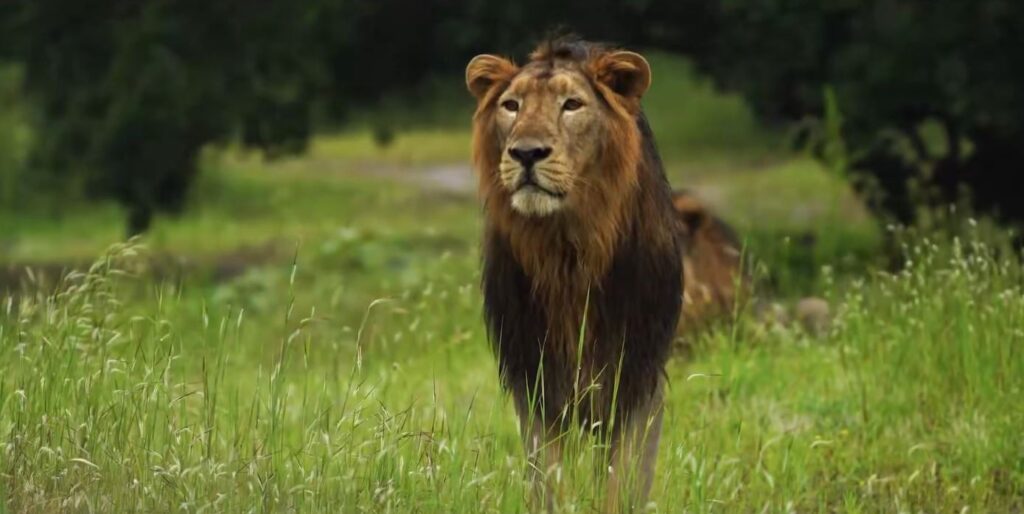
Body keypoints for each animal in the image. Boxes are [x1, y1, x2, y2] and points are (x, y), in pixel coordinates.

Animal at [466, 38, 682, 511]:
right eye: (511, 105)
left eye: (572, 105)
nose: (526, 153)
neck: (567, 247)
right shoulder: (534, 375)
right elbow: (547, 479)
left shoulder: (636, 376)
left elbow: (623, 481)